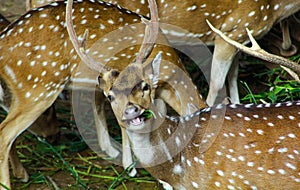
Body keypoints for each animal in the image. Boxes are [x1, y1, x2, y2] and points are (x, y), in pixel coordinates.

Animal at [0, 0, 204, 187]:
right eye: (111, 96)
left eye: (145, 87)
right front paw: (130, 167)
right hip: (37, 88)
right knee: (5, 132)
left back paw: (22, 173)